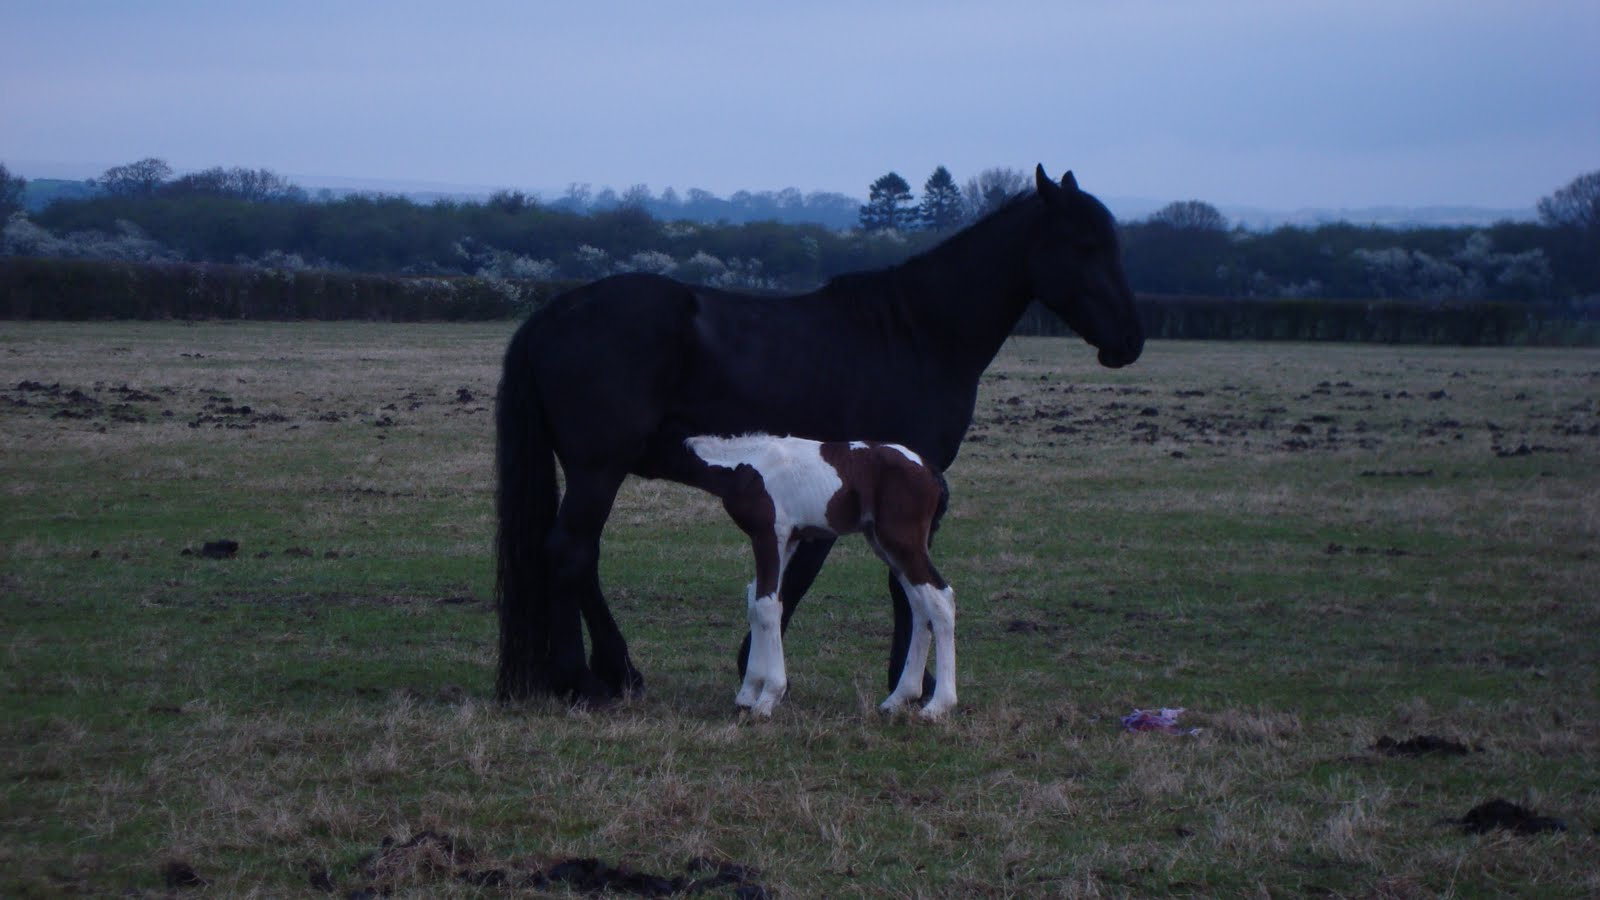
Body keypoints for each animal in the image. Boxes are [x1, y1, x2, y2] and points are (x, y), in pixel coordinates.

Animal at [683, 433, 956, 718]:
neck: (746, 463)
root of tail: (930, 470)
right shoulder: (788, 541)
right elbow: (757, 602)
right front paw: (748, 694)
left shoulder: (768, 535)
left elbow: (767, 605)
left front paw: (768, 698)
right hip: (887, 546)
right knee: (919, 606)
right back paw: (900, 697)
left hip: (903, 542)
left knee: (940, 599)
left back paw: (938, 705)